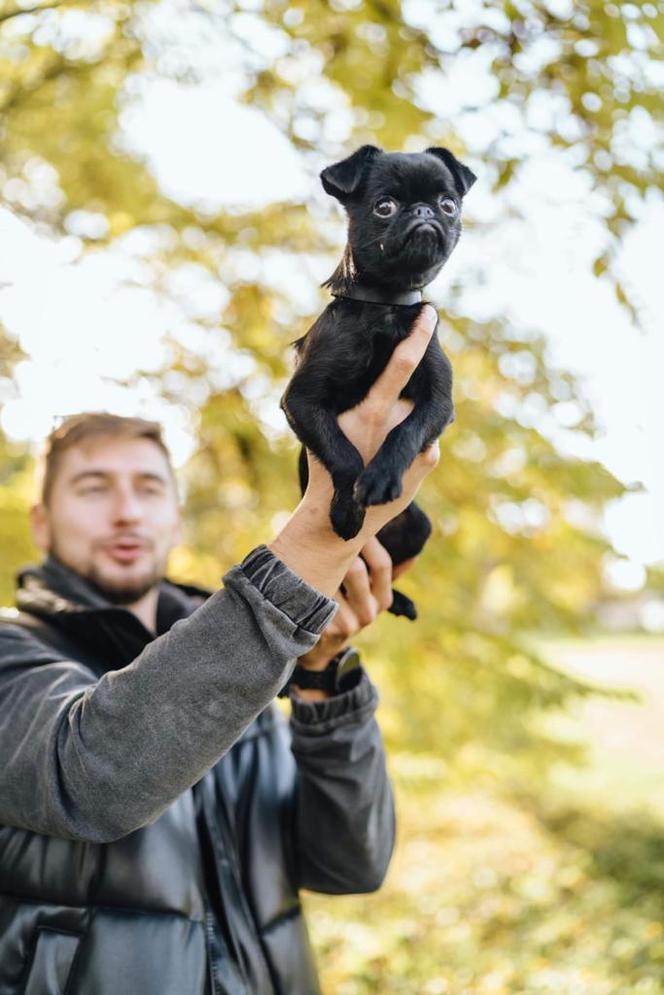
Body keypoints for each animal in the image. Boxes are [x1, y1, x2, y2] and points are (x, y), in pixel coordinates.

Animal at [282, 144, 474, 620]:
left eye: (449, 205)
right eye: (384, 207)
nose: (425, 211)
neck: (386, 306)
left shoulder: (438, 402)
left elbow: (406, 431)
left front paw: (381, 477)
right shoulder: (301, 401)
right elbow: (346, 455)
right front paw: (348, 507)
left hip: (418, 525)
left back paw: (400, 599)